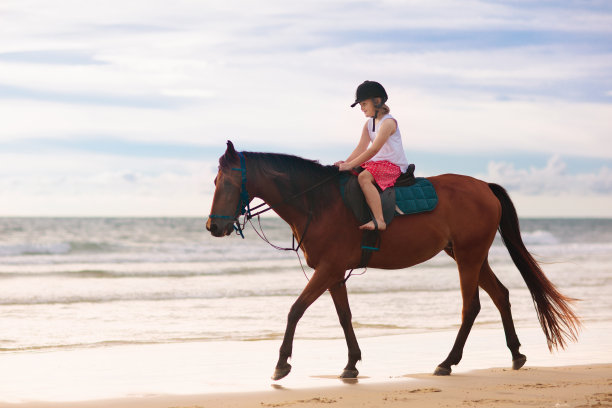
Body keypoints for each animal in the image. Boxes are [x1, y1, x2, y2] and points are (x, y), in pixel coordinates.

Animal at [206, 142, 580, 380]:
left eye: (228, 182)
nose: (213, 227)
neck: (318, 202)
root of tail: (484, 187)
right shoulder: (334, 272)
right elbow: (344, 317)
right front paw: (351, 364)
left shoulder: (328, 269)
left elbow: (295, 309)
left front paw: (282, 363)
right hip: (469, 254)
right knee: (500, 295)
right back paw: (515, 354)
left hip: (468, 256)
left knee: (471, 306)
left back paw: (448, 362)